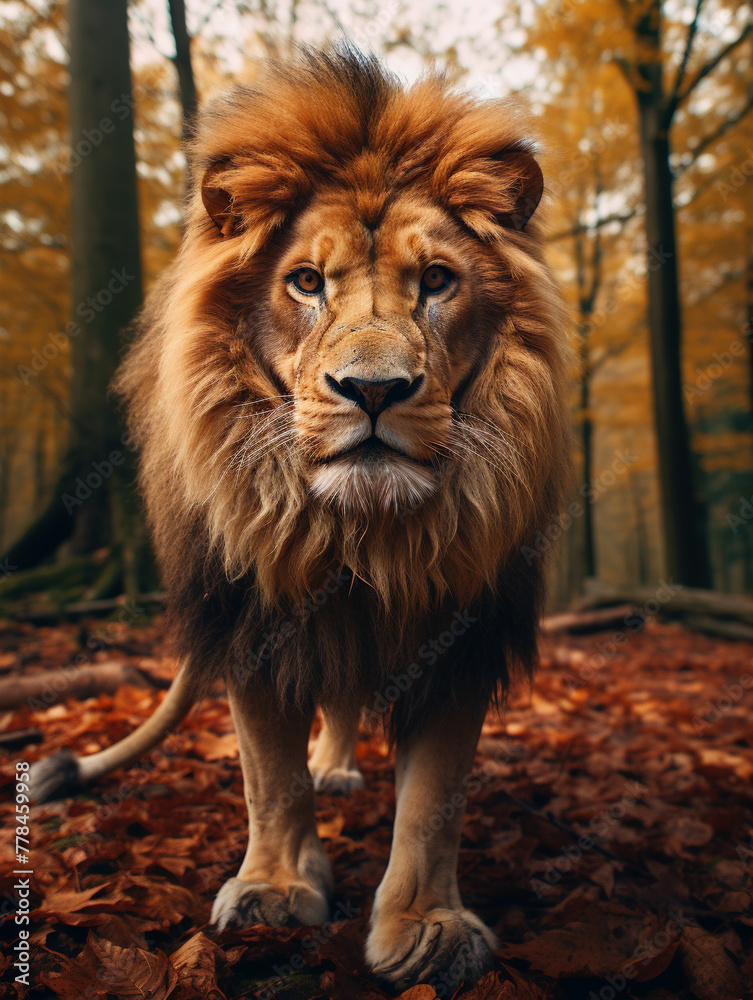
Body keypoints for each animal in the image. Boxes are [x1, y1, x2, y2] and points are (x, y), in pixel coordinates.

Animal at [30, 48, 570, 992]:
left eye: (437, 281)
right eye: (307, 283)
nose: (374, 390)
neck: (359, 534)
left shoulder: (460, 635)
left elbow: (434, 800)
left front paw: (425, 926)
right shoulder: (251, 618)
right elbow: (269, 777)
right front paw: (277, 891)